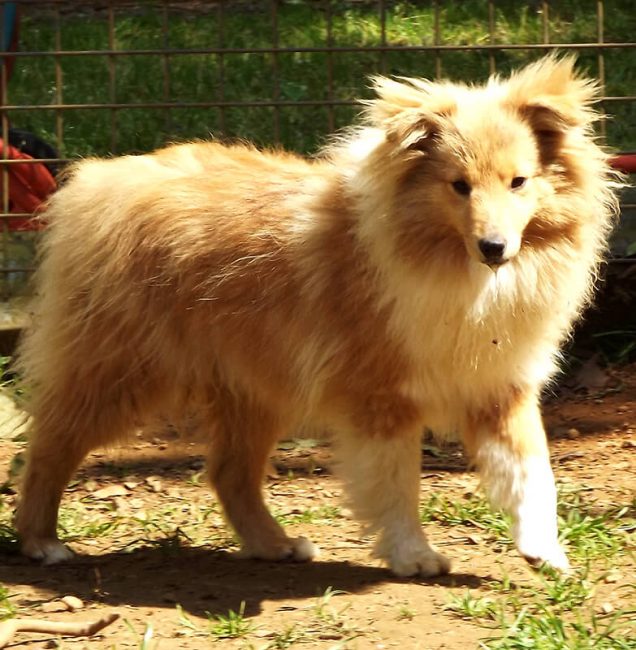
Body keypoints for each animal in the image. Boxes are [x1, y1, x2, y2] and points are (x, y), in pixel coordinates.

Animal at [16, 55, 620, 572]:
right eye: (459, 186)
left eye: (520, 182)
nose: (494, 248)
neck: (455, 269)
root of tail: (98, 180)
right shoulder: (381, 395)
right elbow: (397, 482)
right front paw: (414, 557)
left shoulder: (500, 388)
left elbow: (533, 473)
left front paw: (545, 551)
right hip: (121, 371)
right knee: (48, 444)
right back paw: (42, 542)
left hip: (253, 387)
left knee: (229, 472)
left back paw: (275, 544)